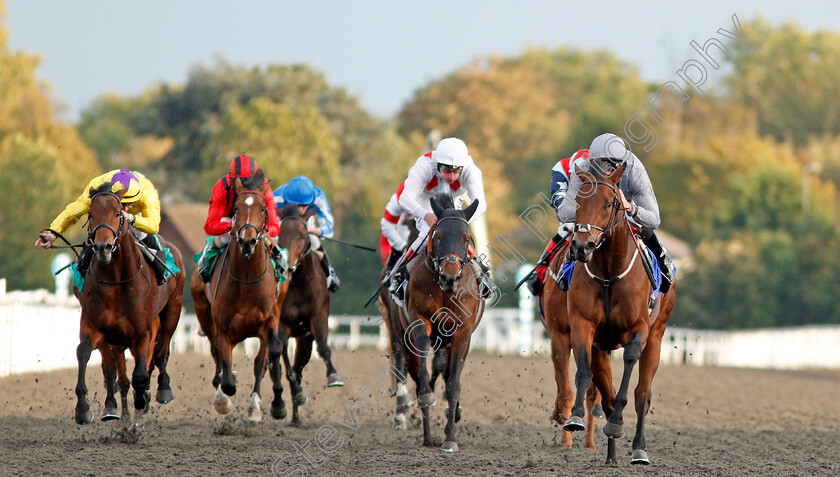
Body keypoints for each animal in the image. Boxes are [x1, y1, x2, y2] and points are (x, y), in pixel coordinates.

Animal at [73, 182, 184, 424]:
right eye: (90, 214)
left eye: (118, 213)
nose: (102, 247)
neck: (117, 280)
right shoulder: (95, 325)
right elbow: (85, 353)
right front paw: (84, 408)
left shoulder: (143, 332)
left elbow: (140, 375)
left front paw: (142, 400)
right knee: (114, 370)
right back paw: (115, 408)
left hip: (172, 311)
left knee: (161, 351)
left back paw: (161, 390)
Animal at [189, 173, 300, 418]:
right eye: (236, 208)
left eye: (263, 209)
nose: (247, 241)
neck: (247, 281)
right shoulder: (222, 327)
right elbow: (226, 373)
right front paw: (223, 398)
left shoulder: (269, 321)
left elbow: (267, 357)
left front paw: (273, 404)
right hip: (203, 311)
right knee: (216, 355)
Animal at [274, 203, 342, 426]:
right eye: (280, 236)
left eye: (303, 235)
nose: (287, 265)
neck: (299, 284)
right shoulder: (282, 325)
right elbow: (285, 365)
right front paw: (296, 393)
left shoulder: (317, 318)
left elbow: (324, 347)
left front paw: (333, 376)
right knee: (278, 366)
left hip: (304, 341)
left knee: (299, 367)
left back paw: (296, 415)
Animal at [390, 195, 482, 452]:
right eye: (438, 235)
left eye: (467, 237)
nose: (450, 276)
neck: (445, 291)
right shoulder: (419, 321)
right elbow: (423, 364)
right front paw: (426, 397)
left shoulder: (462, 333)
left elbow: (453, 383)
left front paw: (450, 438)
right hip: (403, 338)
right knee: (415, 372)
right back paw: (427, 432)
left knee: (445, 369)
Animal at [560, 162, 680, 462]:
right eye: (578, 202)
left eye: (609, 203)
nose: (582, 246)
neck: (608, 273)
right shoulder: (583, 324)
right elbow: (583, 371)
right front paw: (576, 417)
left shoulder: (639, 329)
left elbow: (629, 370)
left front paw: (616, 424)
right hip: (602, 346)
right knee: (606, 391)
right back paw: (611, 456)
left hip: (657, 337)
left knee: (642, 393)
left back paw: (638, 448)